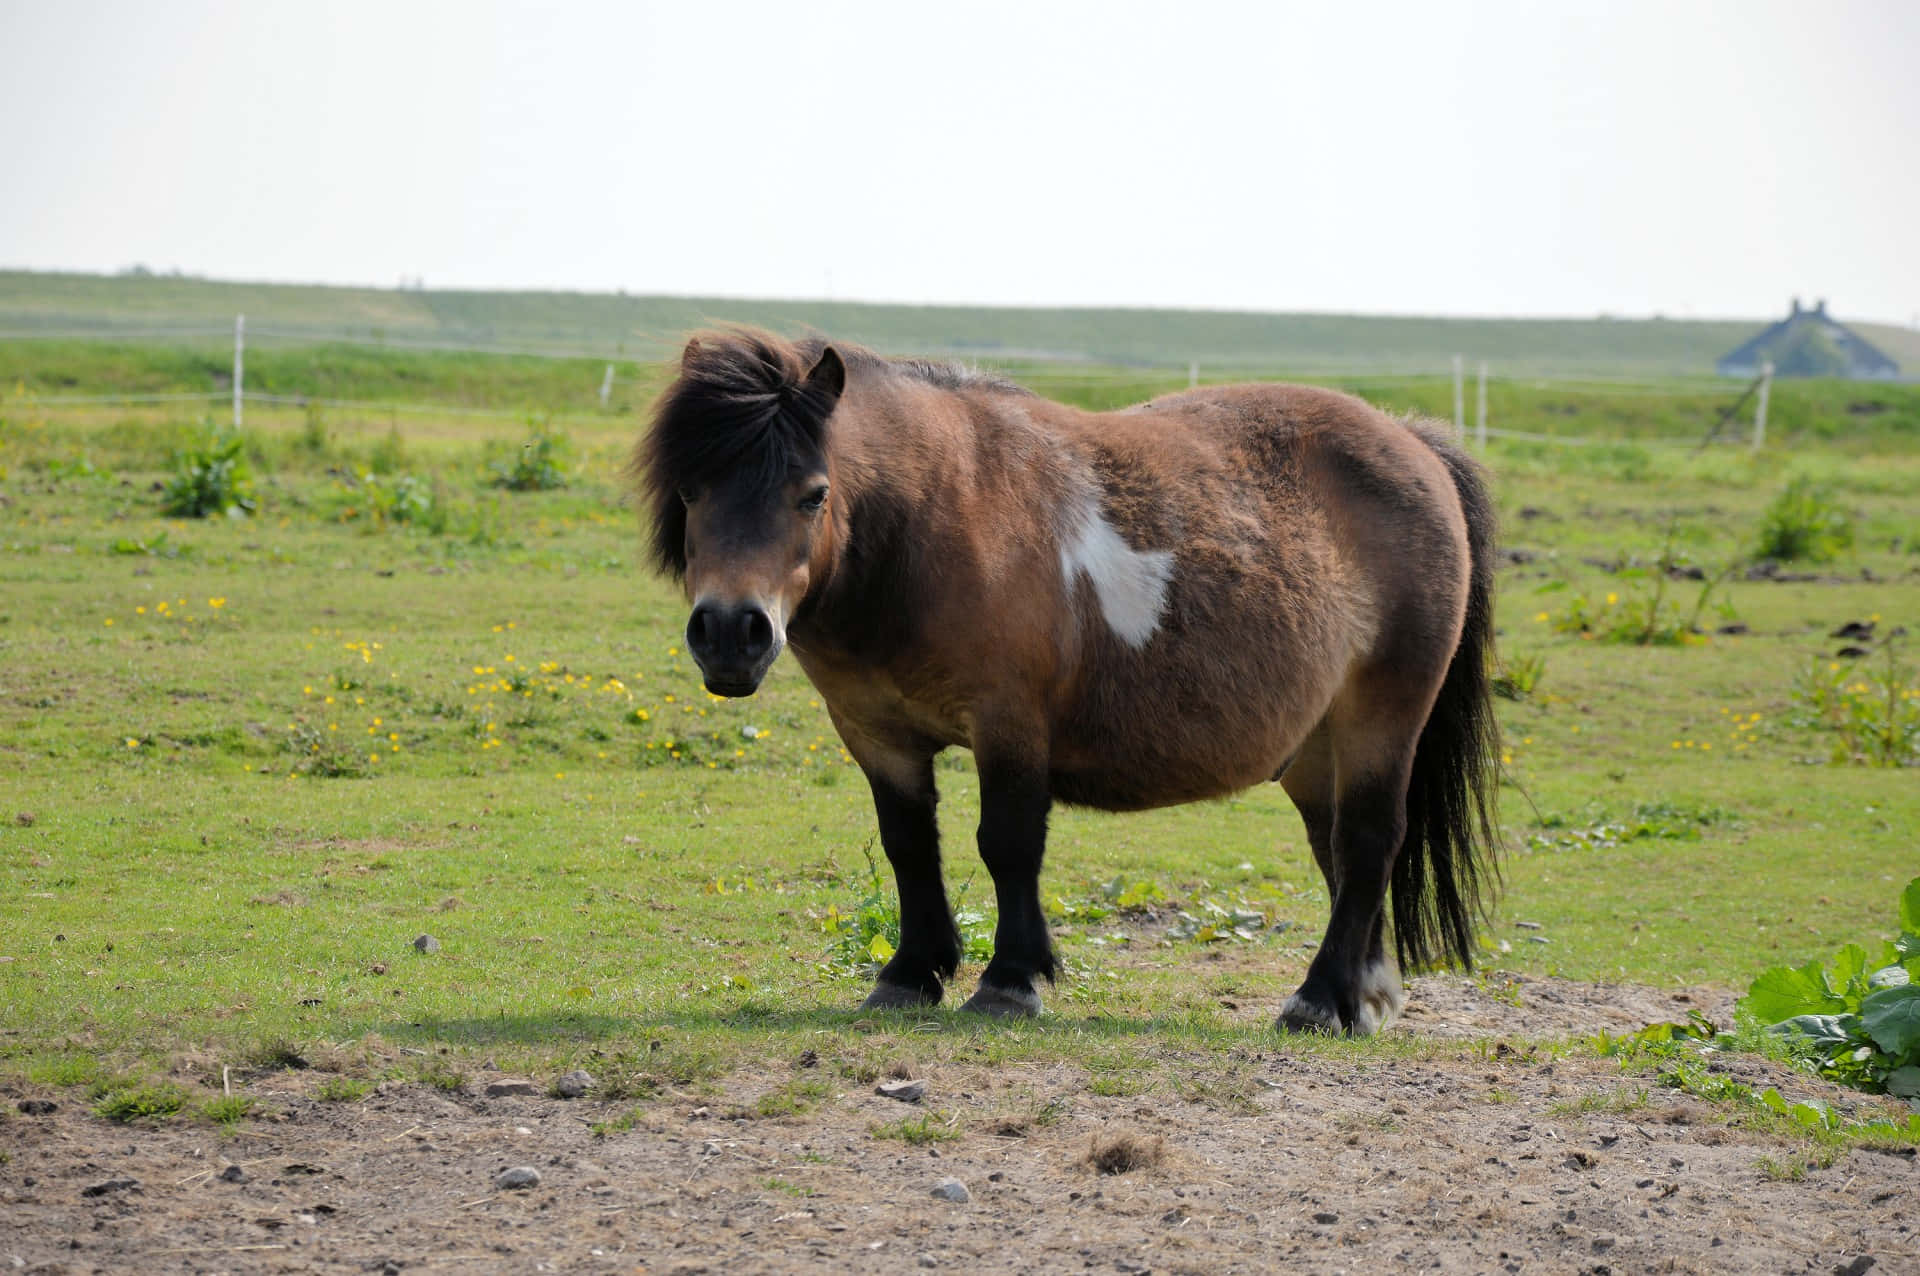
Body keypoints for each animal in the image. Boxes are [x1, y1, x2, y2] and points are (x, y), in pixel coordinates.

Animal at [633, 329, 1499, 1035]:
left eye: (813, 493)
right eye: (690, 491)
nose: (730, 632)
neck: (933, 524)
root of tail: (1414, 441)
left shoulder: (1009, 723)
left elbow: (1008, 843)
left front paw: (1009, 982)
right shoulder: (875, 733)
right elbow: (909, 845)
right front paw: (910, 976)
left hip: (1382, 717)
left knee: (1368, 840)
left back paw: (1318, 1001)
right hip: (1316, 749)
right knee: (1340, 852)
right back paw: (1365, 996)